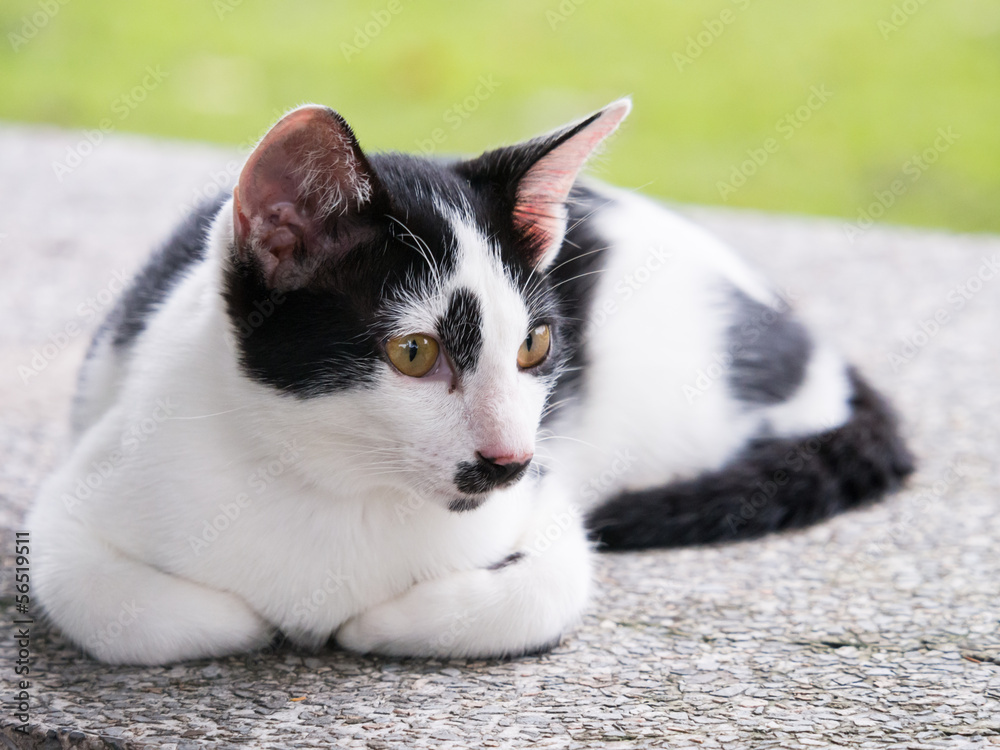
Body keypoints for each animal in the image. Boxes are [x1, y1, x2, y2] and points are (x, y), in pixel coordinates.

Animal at [27, 98, 916, 664]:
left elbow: (542, 587)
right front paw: (257, 622)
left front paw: (374, 625)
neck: (338, 491)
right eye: (415, 353)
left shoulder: (547, 511)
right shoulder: (72, 505)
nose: (509, 460)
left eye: (536, 347)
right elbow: (132, 611)